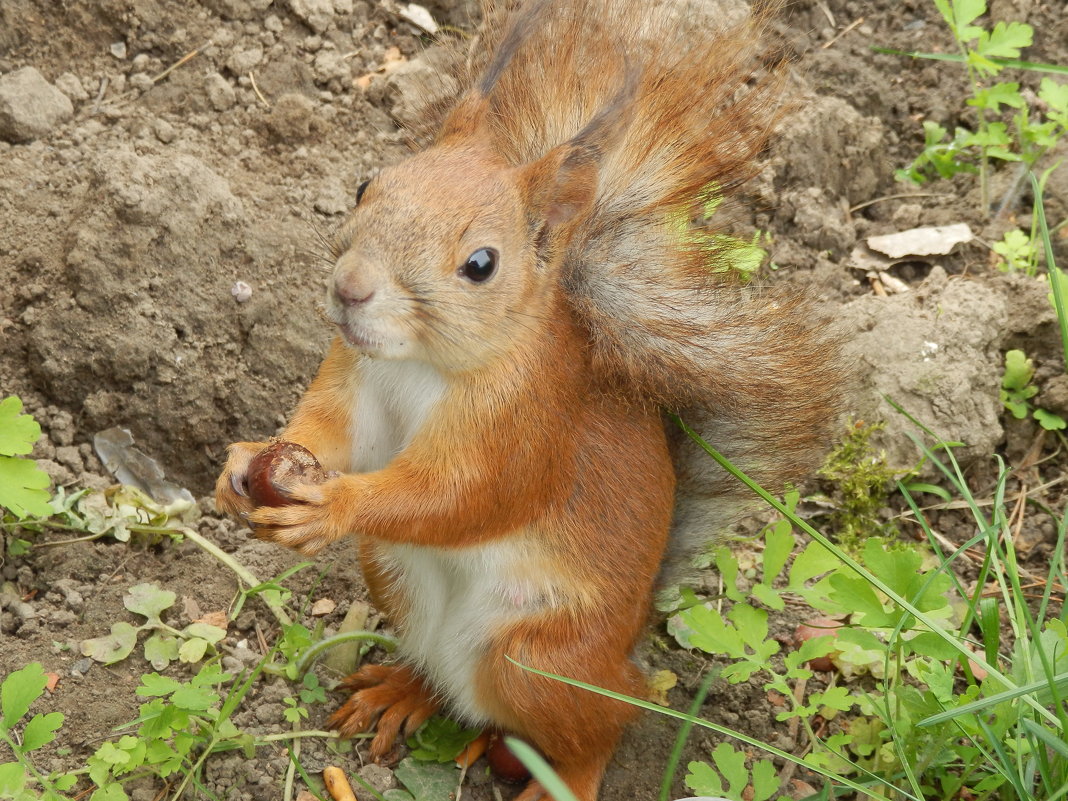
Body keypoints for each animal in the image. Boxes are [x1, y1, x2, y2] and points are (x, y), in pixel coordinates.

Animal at [214, 3, 841, 798]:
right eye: (365, 185)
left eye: (481, 264)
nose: (350, 288)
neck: (421, 364)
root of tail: (628, 639)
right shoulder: (351, 372)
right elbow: (327, 430)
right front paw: (244, 464)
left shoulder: (522, 425)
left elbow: (457, 496)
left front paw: (333, 505)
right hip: (397, 580)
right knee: (443, 679)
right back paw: (404, 691)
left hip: (537, 660)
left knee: (605, 723)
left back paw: (561, 776)